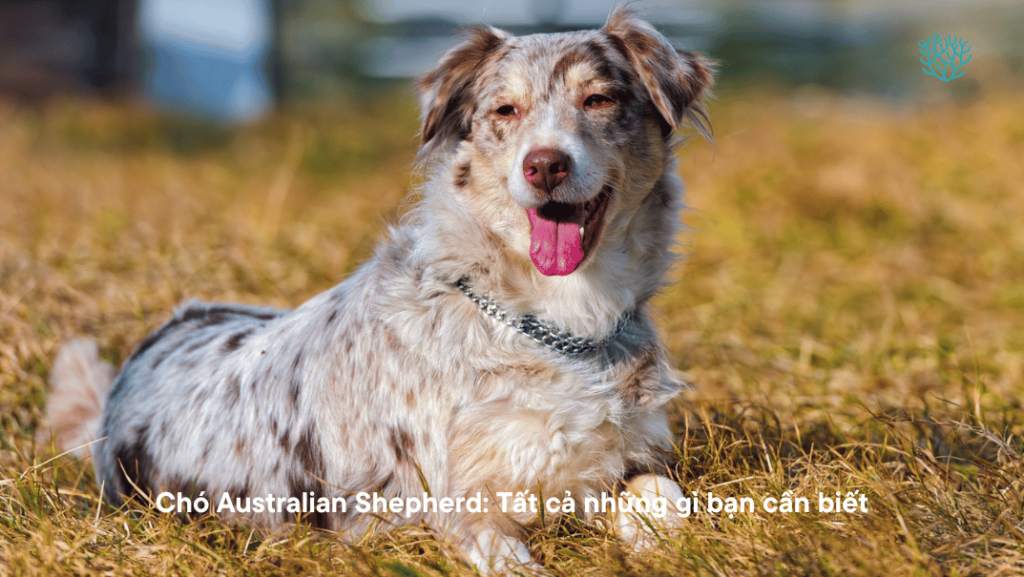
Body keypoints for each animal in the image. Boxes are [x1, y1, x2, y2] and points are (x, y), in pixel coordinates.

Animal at [41, 6, 712, 573]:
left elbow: (668, 501)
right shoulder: (456, 510)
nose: (545, 164)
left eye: (598, 99)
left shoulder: (632, 455)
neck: (555, 323)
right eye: (505, 111)